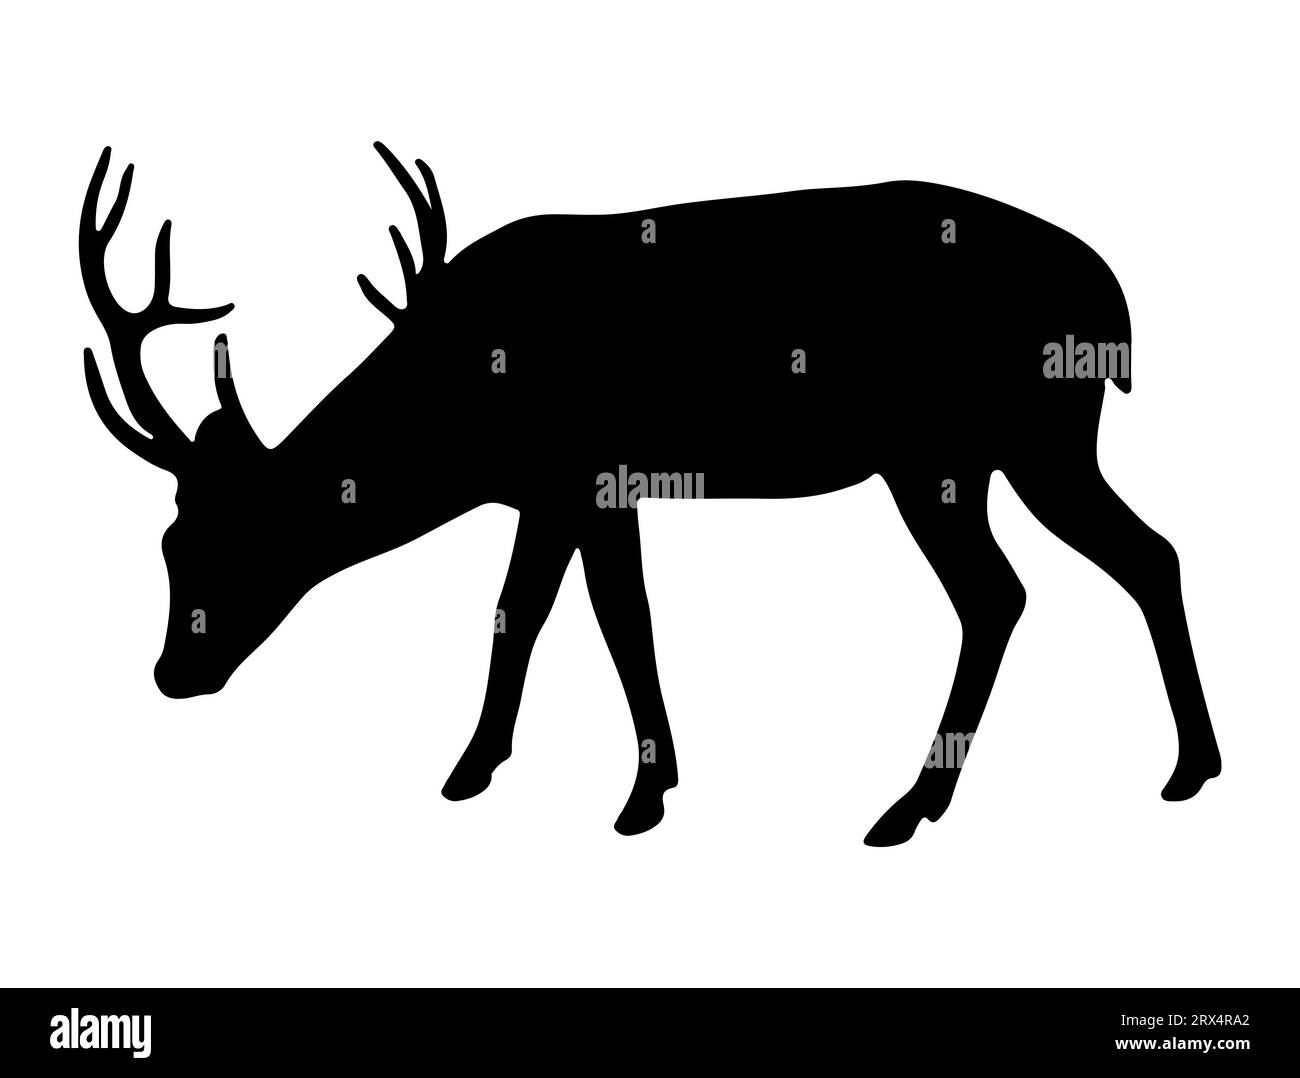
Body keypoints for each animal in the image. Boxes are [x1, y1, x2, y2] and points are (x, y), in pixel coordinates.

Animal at [79, 143, 1222, 845]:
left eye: (226, 542)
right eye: (167, 544)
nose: (172, 673)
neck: (466, 406)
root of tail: (1112, 301)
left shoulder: (589, 471)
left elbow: (616, 618)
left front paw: (639, 794)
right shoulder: (550, 492)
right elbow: (523, 611)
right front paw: (479, 766)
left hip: (967, 449)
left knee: (1007, 590)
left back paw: (910, 804)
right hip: (1014, 452)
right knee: (1133, 557)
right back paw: (1188, 766)